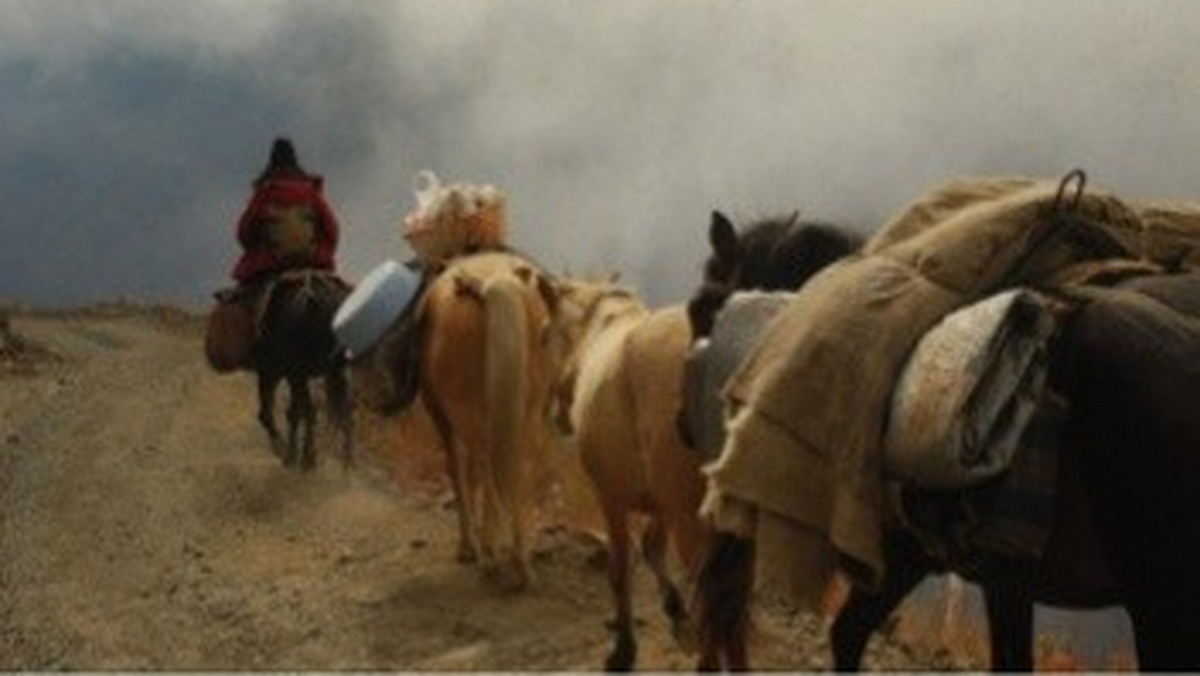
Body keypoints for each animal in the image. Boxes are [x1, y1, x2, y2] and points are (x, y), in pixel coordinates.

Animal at [249, 270, 350, 470]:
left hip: (300, 373)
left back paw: (306, 458)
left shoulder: (289, 373)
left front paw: (292, 454)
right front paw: (294, 453)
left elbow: (295, 412)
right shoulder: (292, 374)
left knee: (312, 410)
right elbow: (297, 411)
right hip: (335, 371)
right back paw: (347, 459)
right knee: (344, 409)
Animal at [552, 282, 710, 672]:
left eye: (549, 333)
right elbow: (652, 547)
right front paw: (675, 609)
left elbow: (621, 569)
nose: (558, 414)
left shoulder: (611, 497)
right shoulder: (660, 503)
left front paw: (623, 649)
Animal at [681, 211, 1200, 672]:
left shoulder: (904, 554)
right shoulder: (1003, 578)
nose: (681, 425)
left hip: (1161, 609)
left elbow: (847, 633)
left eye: (702, 308)